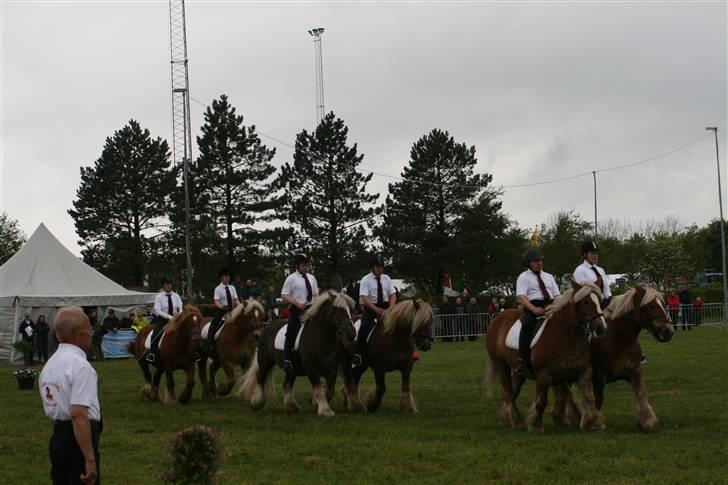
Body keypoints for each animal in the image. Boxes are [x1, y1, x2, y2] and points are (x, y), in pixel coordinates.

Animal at [239, 290, 364, 418]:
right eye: (338, 311)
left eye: (350, 311)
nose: (351, 333)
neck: (321, 338)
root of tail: (265, 328)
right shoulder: (310, 366)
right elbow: (319, 388)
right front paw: (325, 410)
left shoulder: (332, 368)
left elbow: (329, 390)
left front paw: (315, 402)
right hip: (266, 362)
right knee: (260, 377)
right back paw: (257, 403)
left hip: (291, 369)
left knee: (286, 384)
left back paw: (291, 407)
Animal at [484, 282, 608, 432]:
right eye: (586, 302)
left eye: (600, 301)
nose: (601, 328)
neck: (567, 336)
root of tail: (497, 319)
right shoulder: (544, 376)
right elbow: (541, 402)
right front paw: (535, 425)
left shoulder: (582, 373)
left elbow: (588, 398)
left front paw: (592, 422)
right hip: (501, 365)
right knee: (508, 392)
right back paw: (518, 421)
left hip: (518, 372)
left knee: (512, 392)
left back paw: (509, 418)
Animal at [552, 284, 676, 432]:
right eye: (651, 306)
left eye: (663, 303)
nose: (668, 331)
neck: (618, 340)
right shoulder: (598, 378)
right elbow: (597, 401)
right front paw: (594, 423)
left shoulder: (635, 372)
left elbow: (641, 394)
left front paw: (646, 422)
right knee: (565, 392)